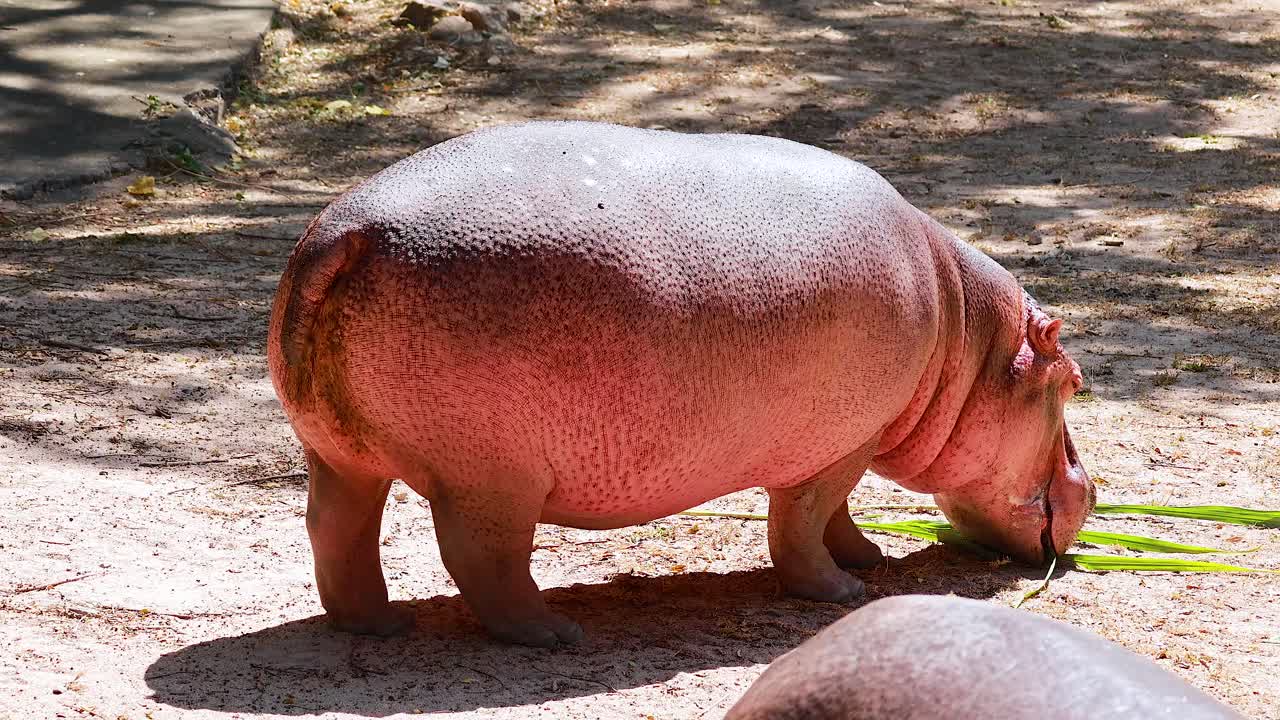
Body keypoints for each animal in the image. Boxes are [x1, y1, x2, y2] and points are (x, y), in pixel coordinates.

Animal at [267, 121, 1093, 646]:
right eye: (1076, 382)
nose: (1092, 487)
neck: (968, 339)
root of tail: (345, 233)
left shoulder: (847, 439)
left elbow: (837, 518)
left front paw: (869, 561)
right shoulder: (840, 444)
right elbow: (803, 523)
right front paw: (845, 593)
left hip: (339, 456)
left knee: (336, 532)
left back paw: (380, 625)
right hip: (491, 477)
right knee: (481, 559)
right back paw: (556, 635)